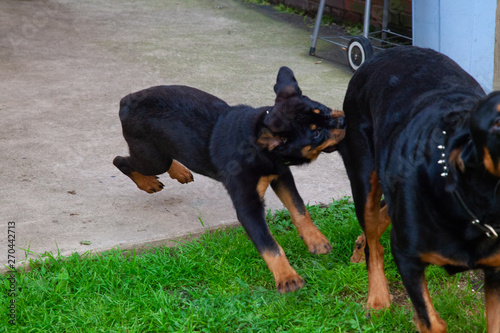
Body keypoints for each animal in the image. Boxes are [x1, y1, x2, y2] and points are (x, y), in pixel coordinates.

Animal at [114, 66, 346, 292]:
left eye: (323, 110)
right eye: (316, 134)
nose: (344, 120)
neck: (264, 150)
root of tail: (126, 100)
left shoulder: (281, 175)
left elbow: (299, 208)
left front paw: (316, 240)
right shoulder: (248, 206)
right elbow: (268, 244)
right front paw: (287, 278)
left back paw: (179, 171)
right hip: (153, 159)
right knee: (121, 160)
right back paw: (148, 182)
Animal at [338, 45, 500, 330]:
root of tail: (383, 52)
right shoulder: (407, 259)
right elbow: (431, 321)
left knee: (382, 216)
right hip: (363, 174)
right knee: (373, 238)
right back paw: (377, 297)